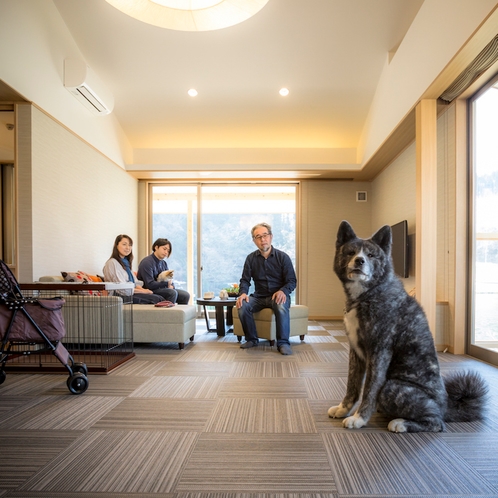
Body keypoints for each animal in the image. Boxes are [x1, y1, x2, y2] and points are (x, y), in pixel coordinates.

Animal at [328, 222, 488, 432]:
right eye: (351, 252)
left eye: (371, 255)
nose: (359, 261)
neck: (369, 294)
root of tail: (446, 407)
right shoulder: (355, 351)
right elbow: (352, 385)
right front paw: (343, 409)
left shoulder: (379, 352)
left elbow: (369, 389)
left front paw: (359, 418)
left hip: (392, 387)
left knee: (437, 423)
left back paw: (401, 423)